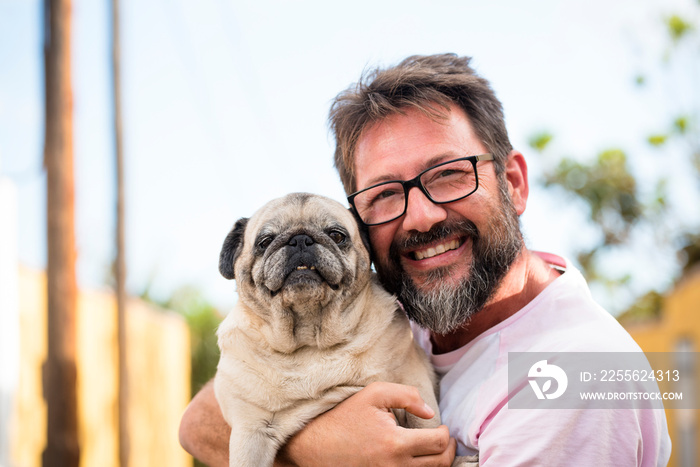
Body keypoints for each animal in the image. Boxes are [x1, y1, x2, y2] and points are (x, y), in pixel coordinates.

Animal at [213, 192, 476, 466]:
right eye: (265, 242)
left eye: (337, 236)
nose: (300, 240)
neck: (309, 342)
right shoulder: (250, 432)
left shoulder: (417, 393)